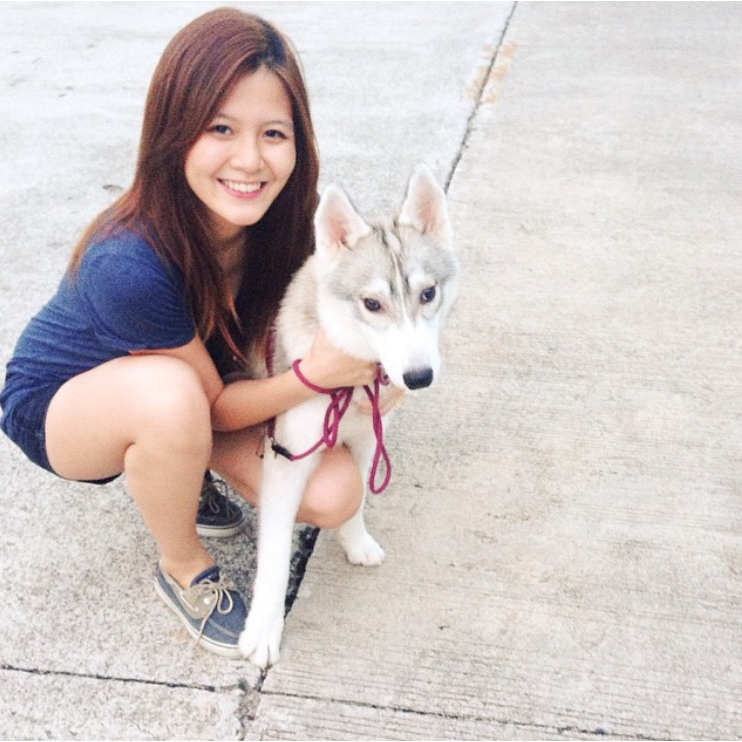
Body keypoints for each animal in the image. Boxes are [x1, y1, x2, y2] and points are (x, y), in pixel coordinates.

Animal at [239, 163, 459, 668]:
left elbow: (355, 496)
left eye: (429, 293)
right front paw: (263, 629)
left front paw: (354, 542)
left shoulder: (366, 439)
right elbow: (275, 559)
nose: (419, 377)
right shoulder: (287, 458)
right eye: (372, 304)